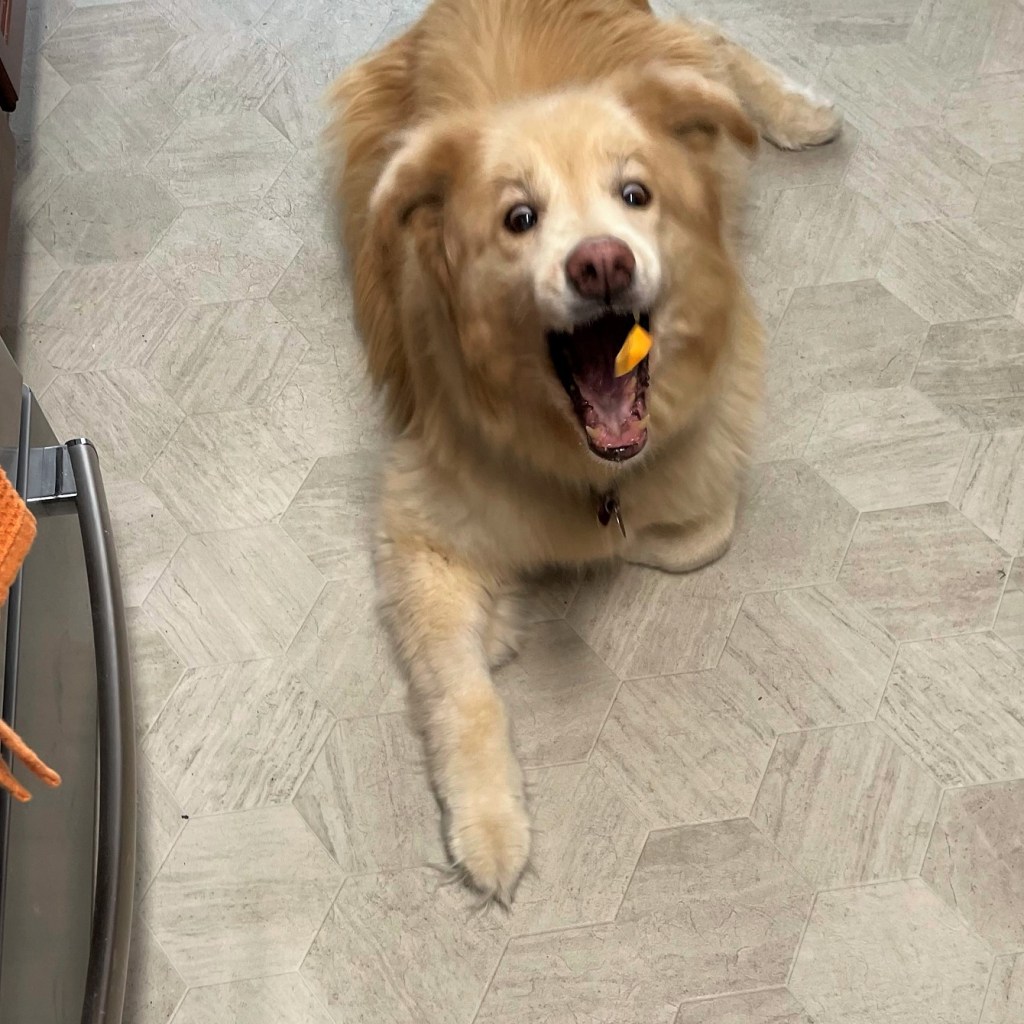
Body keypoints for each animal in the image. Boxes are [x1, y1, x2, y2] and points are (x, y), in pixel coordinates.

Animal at [328, 0, 841, 902]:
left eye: (635, 195)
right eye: (518, 217)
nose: (602, 262)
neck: (576, 453)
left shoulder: (707, 458)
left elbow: (685, 540)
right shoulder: (415, 527)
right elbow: (465, 695)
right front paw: (490, 824)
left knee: (714, 43)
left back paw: (798, 113)